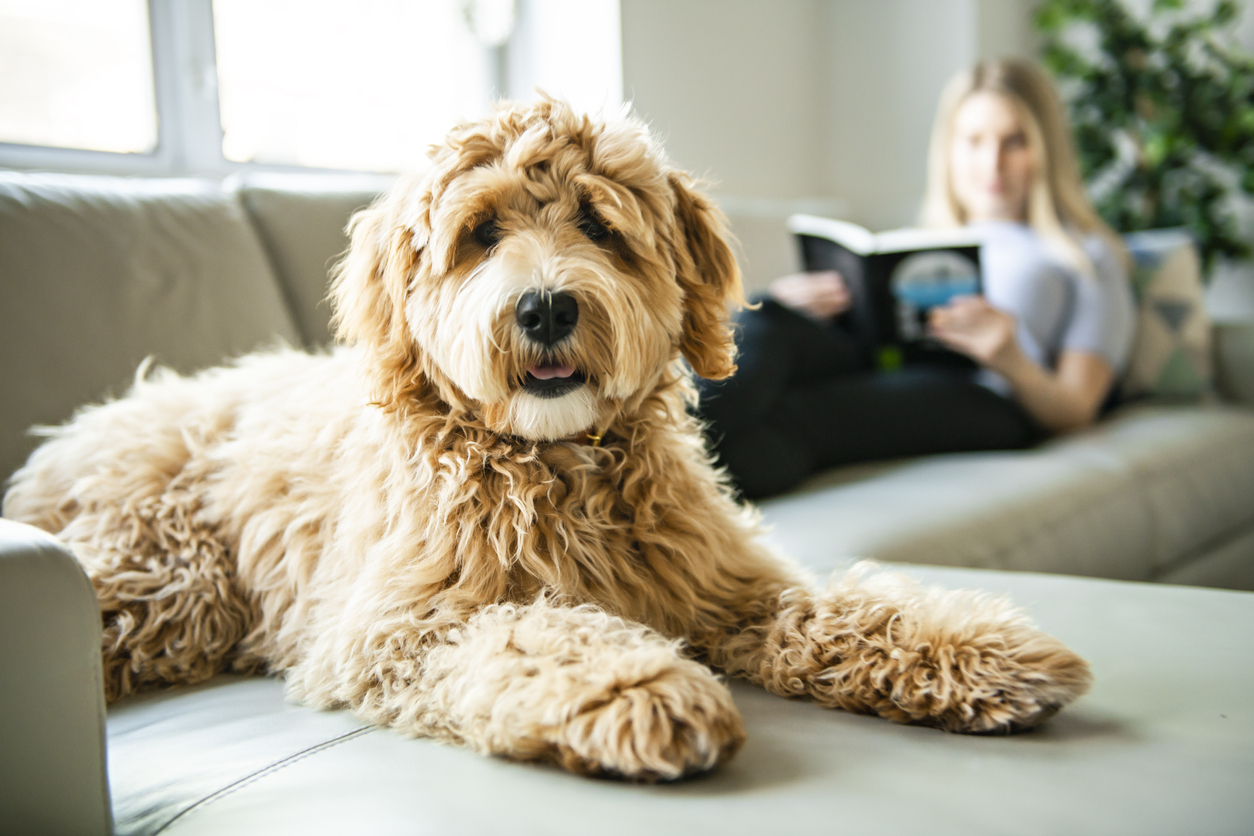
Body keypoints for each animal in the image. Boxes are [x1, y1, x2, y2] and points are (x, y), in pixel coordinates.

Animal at [0, 99, 1088, 787]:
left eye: (600, 226)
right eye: (481, 233)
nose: (548, 306)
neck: (556, 464)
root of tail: (79, 428)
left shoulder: (729, 584)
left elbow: (841, 607)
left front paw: (978, 648)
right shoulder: (397, 627)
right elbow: (534, 631)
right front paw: (639, 687)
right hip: (166, 580)